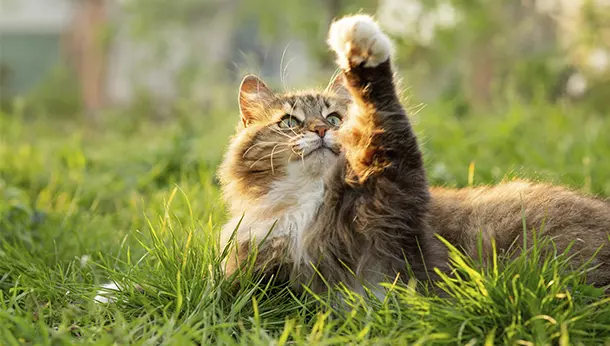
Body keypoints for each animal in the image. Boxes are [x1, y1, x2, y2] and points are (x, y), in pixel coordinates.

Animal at [217, 12, 608, 294]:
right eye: (289, 122)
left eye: (333, 117)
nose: (320, 130)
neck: (307, 203)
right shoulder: (263, 272)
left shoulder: (396, 195)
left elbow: (385, 112)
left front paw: (360, 44)